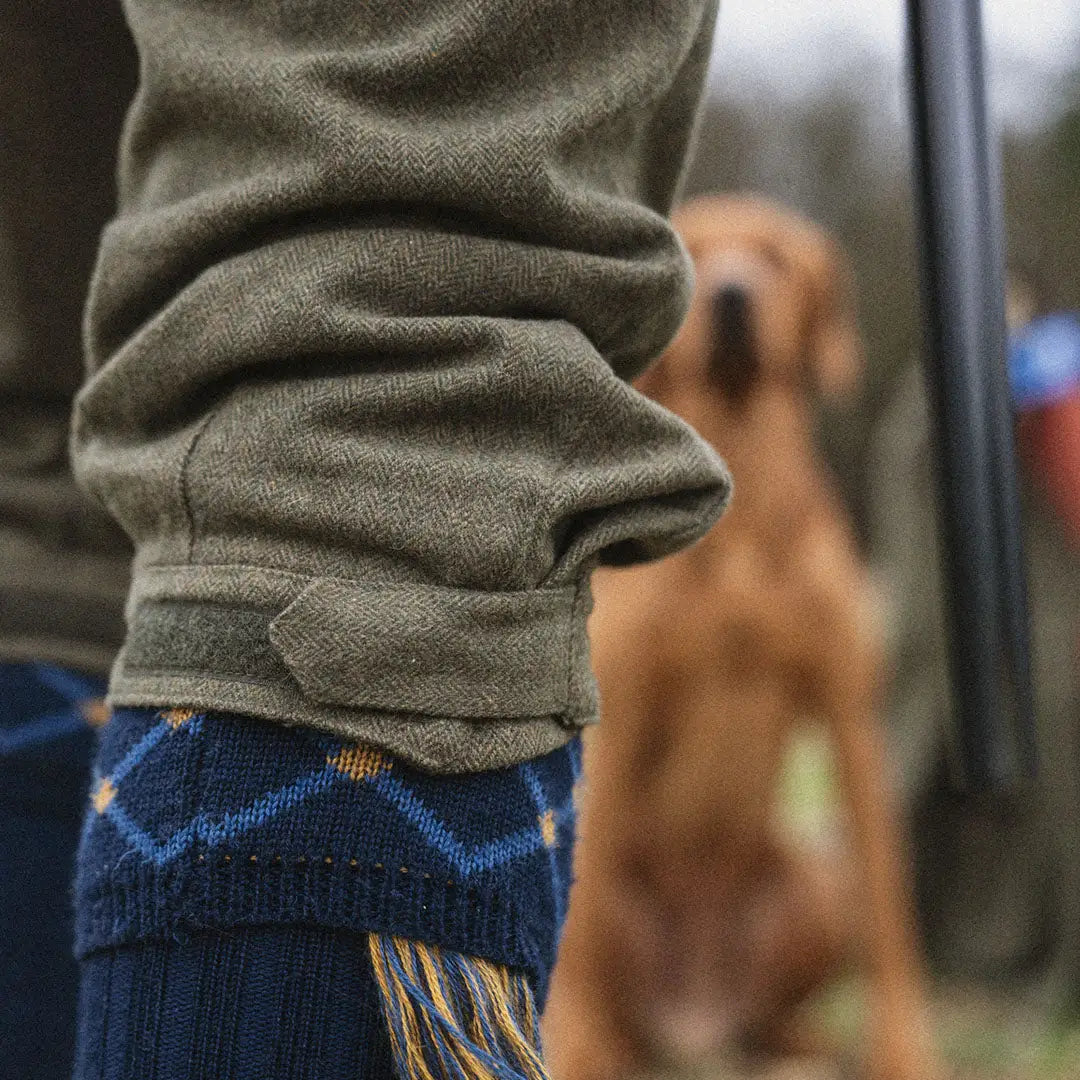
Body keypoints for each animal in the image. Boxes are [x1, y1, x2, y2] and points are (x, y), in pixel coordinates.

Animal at [544, 196, 933, 1080]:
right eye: (699, 252)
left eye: (776, 258)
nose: (731, 296)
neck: (745, 507)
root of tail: (696, 1020)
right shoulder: (624, 714)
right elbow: (576, 933)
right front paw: (572, 1046)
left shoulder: (849, 714)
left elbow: (892, 908)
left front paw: (904, 1053)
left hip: (809, 879)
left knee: (775, 1014)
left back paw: (805, 1046)